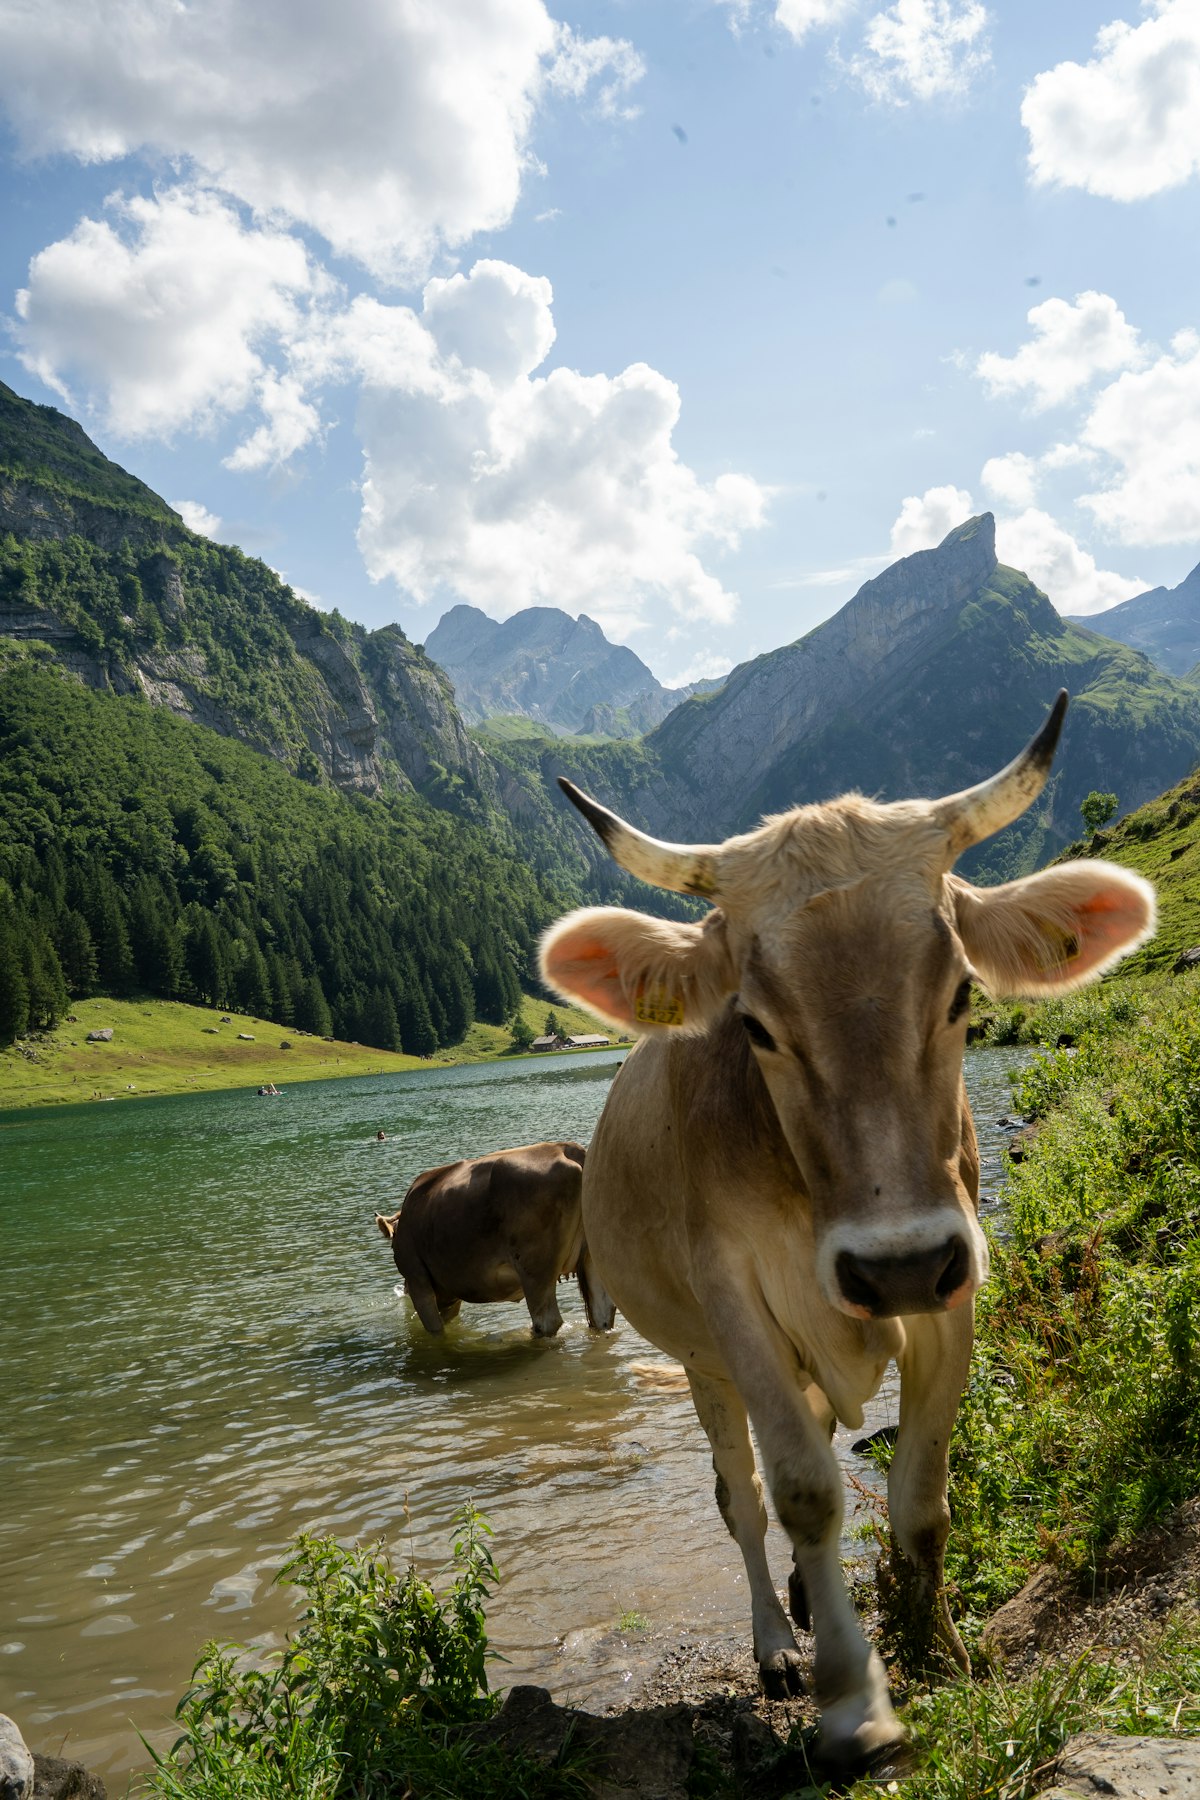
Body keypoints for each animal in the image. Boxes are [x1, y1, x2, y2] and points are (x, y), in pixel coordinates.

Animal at [375, 1139, 616, 1338]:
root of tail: (566, 1149)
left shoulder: (418, 1280)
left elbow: (435, 1330)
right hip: (594, 1259)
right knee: (603, 1313)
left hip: (535, 1271)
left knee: (547, 1321)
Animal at [539, 693, 1154, 1773]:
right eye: (755, 1026)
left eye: (961, 994)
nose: (895, 1263)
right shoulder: (736, 1308)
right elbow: (805, 1493)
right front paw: (851, 1703)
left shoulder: (955, 1288)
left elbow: (923, 1496)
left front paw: (940, 1649)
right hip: (700, 1362)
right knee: (741, 1497)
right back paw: (778, 1640)